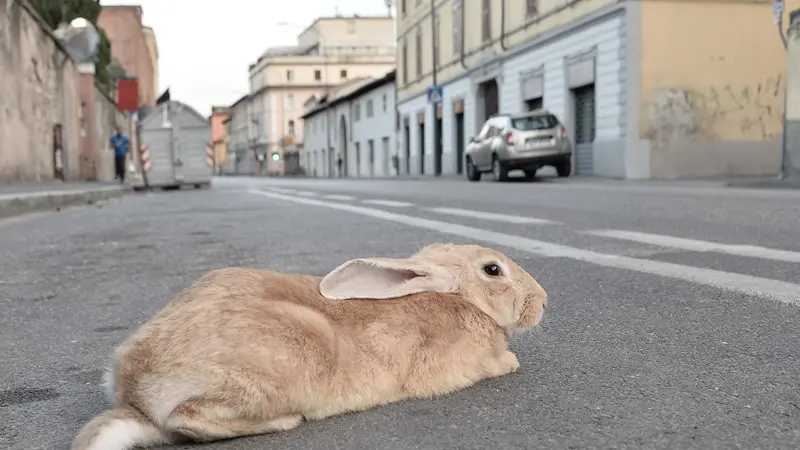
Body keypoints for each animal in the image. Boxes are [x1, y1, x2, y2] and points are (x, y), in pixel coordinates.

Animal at [72, 243, 548, 450]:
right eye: (493, 270)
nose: (543, 301)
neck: (461, 299)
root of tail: (134, 389)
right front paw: (510, 361)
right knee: (187, 418)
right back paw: (286, 421)